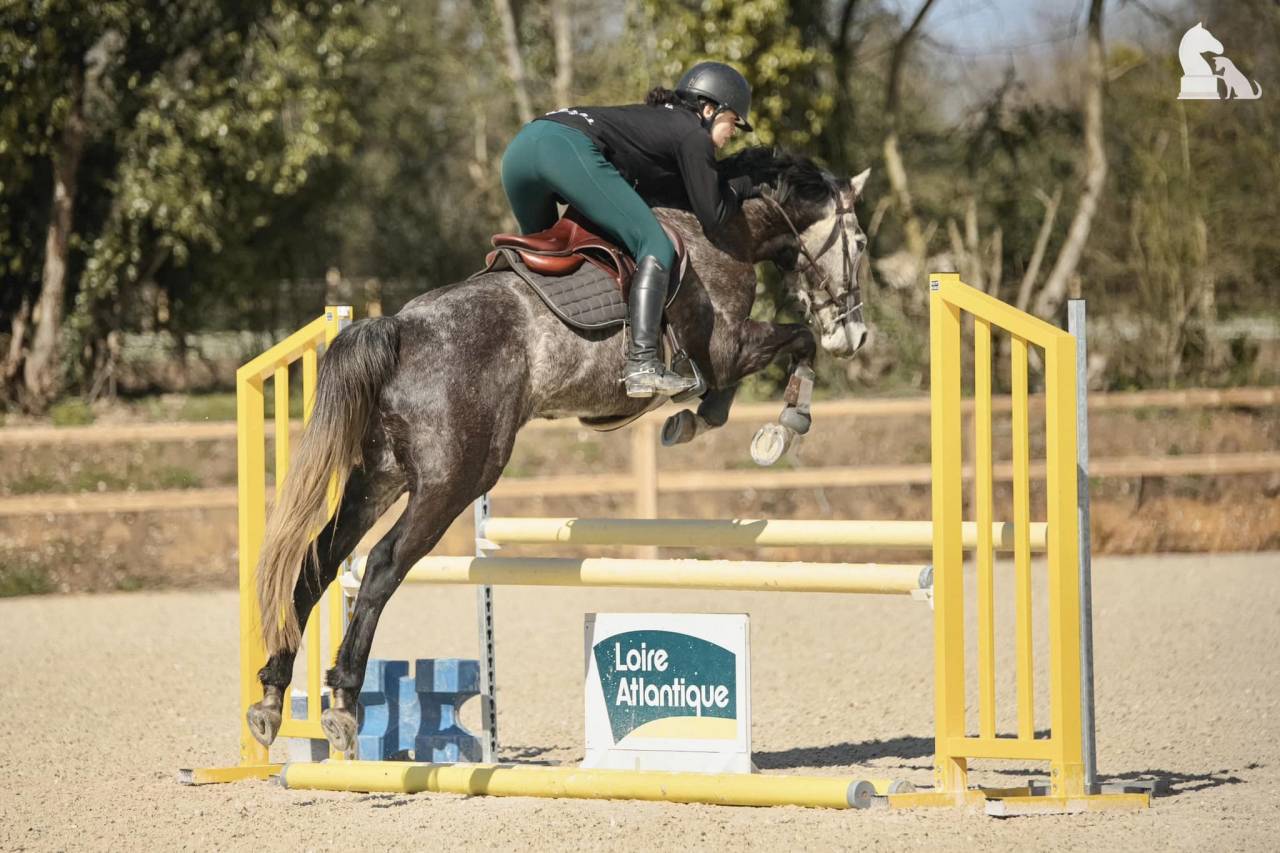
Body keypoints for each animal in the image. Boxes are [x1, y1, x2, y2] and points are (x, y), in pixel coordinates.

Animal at [246, 146, 873, 753]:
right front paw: (781, 428)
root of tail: (401, 328)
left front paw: (696, 421)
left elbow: (753, 373)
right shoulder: (725, 347)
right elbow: (798, 341)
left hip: (380, 475)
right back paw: (342, 704)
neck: (722, 229)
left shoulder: (724, 354)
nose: (856, 335)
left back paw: (272, 696)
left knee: (321, 558)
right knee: (380, 566)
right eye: (862, 243)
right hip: (454, 481)